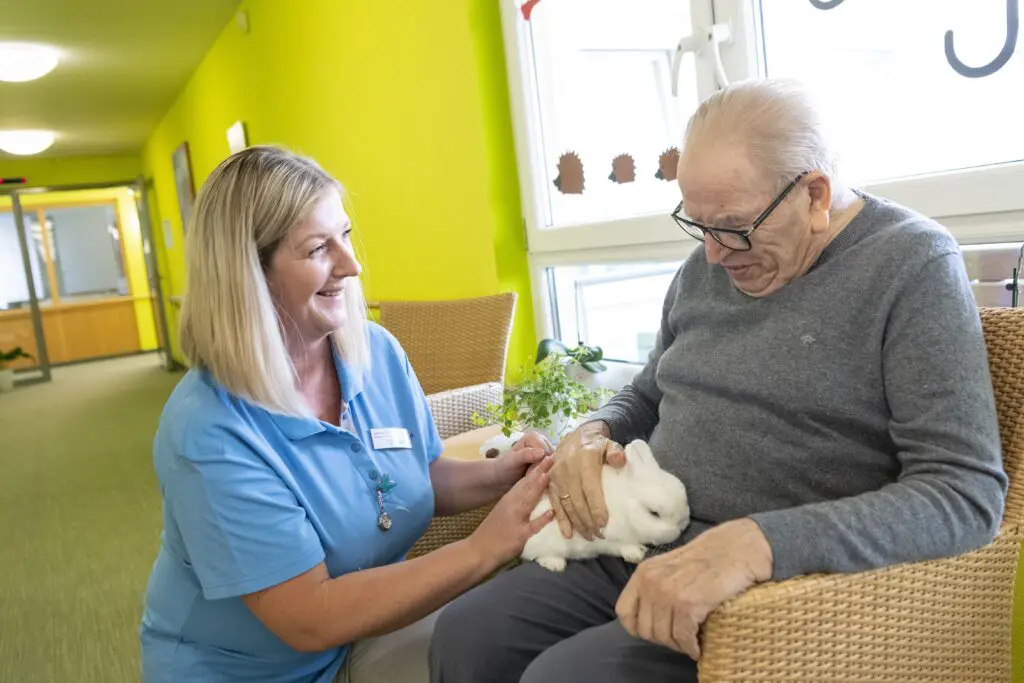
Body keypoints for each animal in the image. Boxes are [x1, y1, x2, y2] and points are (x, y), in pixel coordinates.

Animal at [520, 438, 688, 573]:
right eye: (654, 513)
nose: (683, 526)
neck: (626, 507)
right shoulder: (606, 538)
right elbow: (621, 546)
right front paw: (637, 553)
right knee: (535, 555)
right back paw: (556, 564)